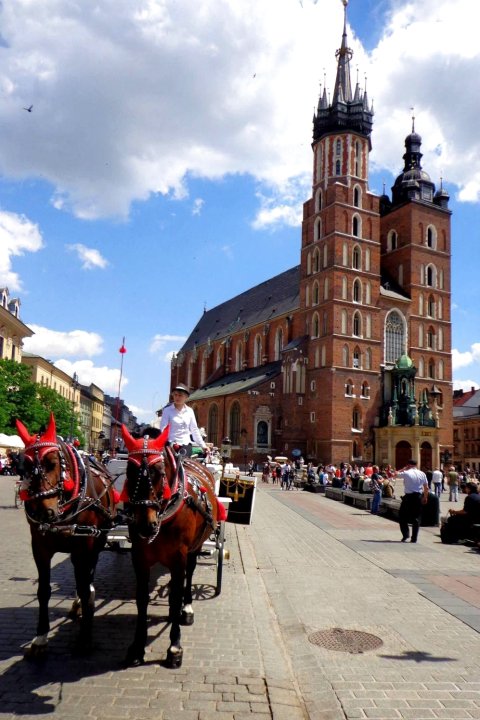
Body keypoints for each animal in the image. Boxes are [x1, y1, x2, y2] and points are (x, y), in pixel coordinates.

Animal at [15, 414, 117, 656]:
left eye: (52, 463)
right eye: (24, 465)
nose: (45, 512)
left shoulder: (85, 544)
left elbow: (83, 584)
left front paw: (85, 638)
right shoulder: (39, 547)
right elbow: (44, 591)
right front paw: (40, 637)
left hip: (96, 542)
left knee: (87, 574)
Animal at [120, 424, 225, 668]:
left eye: (159, 471)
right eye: (129, 470)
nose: (146, 525)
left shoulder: (179, 557)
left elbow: (177, 594)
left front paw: (175, 647)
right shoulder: (140, 557)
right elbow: (141, 598)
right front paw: (137, 646)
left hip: (194, 548)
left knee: (189, 576)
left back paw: (186, 609)